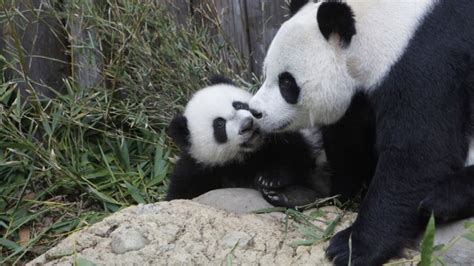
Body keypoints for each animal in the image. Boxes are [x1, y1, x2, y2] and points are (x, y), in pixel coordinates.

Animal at [248, 0, 474, 264]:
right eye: (266, 73)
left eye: (286, 82)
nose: (255, 111)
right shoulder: (359, 97)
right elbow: (349, 141)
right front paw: (327, 191)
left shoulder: (427, 63)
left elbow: (418, 154)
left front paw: (350, 247)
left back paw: (440, 201)